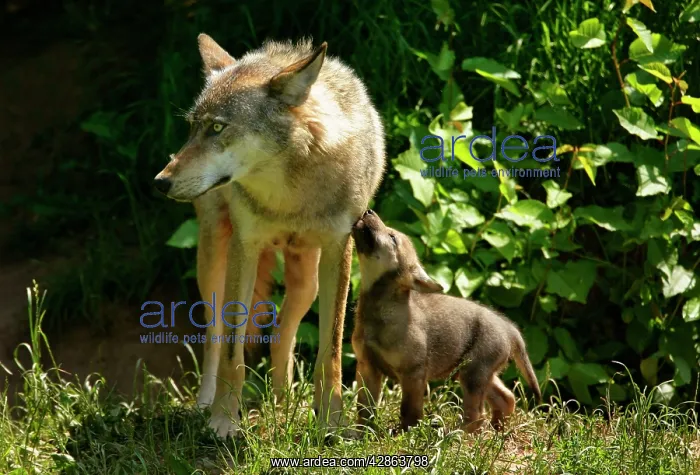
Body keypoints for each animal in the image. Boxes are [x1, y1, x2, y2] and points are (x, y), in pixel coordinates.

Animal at [154, 34, 386, 437]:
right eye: (193, 128)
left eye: (217, 128)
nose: (161, 182)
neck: (288, 196)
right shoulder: (245, 247)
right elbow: (232, 352)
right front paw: (223, 421)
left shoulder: (339, 249)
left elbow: (331, 351)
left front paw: (330, 422)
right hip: (213, 265)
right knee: (214, 338)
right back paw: (207, 404)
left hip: (307, 281)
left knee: (280, 337)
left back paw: (283, 407)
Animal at [350, 210, 541, 433]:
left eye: (392, 237)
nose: (368, 211)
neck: (379, 311)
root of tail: (511, 329)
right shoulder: (367, 367)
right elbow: (365, 409)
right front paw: (362, 434)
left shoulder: (414, 374)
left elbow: (409, 411)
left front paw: (406, 434)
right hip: (473, 373)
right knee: (506, 398)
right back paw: (498, 431)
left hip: (473, 374)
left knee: (477, 415)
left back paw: (461, 436)